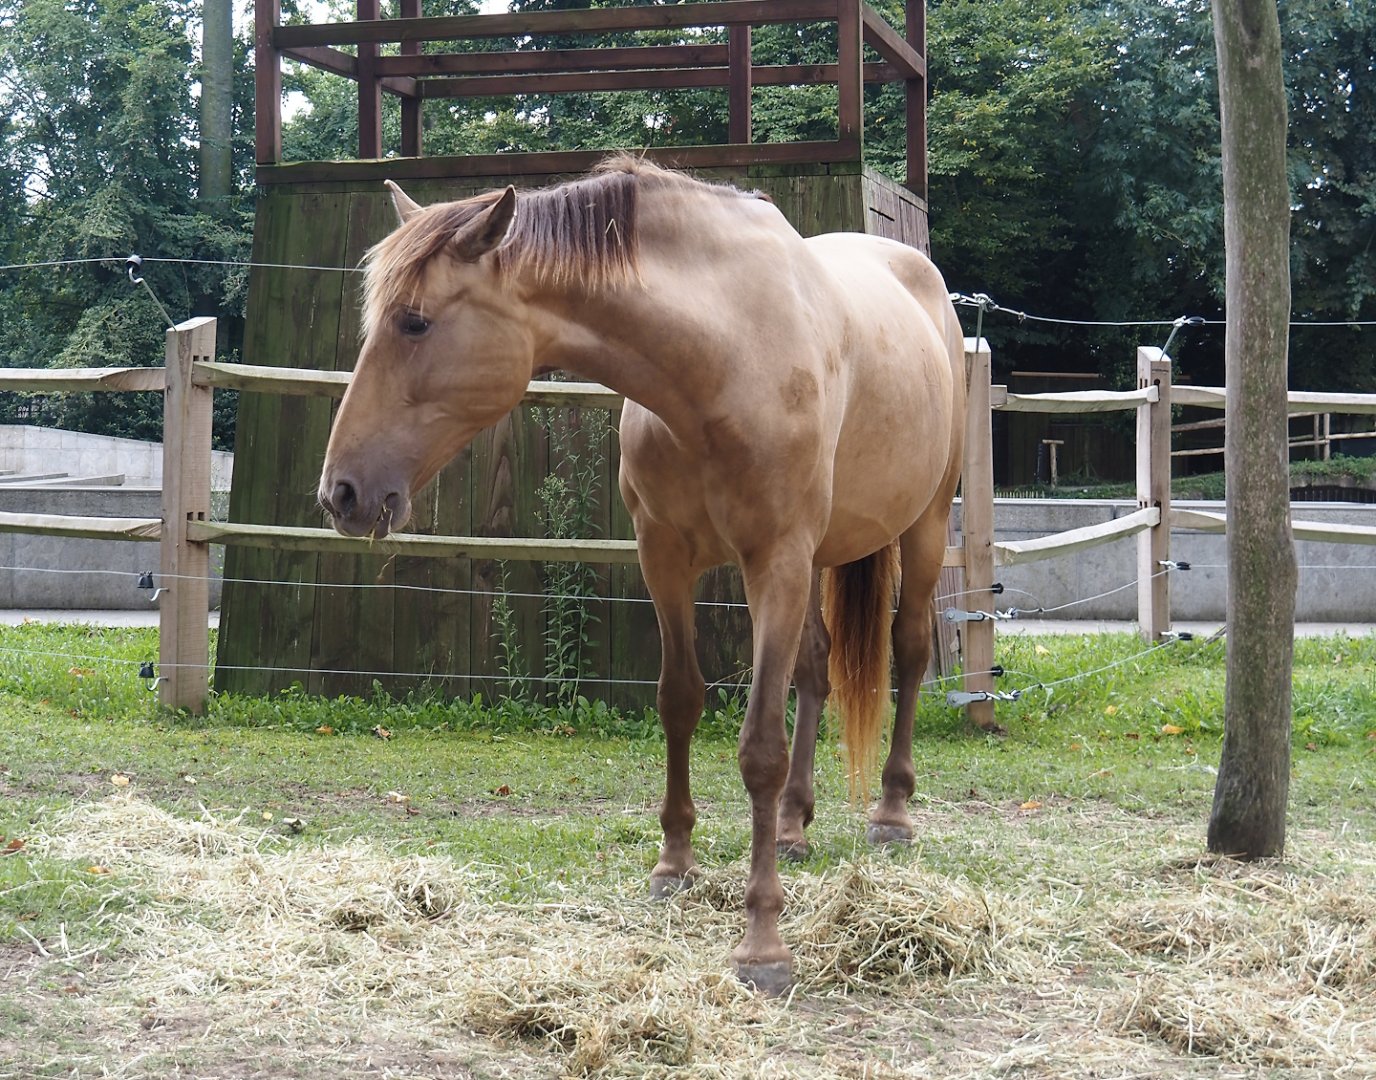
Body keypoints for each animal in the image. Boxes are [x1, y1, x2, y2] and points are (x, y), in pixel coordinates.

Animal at [318, 157, 966, 995]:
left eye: (416, 322)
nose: (342, 493)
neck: (725, 354)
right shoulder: (664, 557)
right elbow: (679, 703)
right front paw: (675, 863)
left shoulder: (775, 558)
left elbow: (759, 746)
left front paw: (763, 942)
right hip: (819, 559)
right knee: (817, 673)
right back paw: (793, 826)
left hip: (920, 530)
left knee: (911, 653)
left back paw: (891, 814)